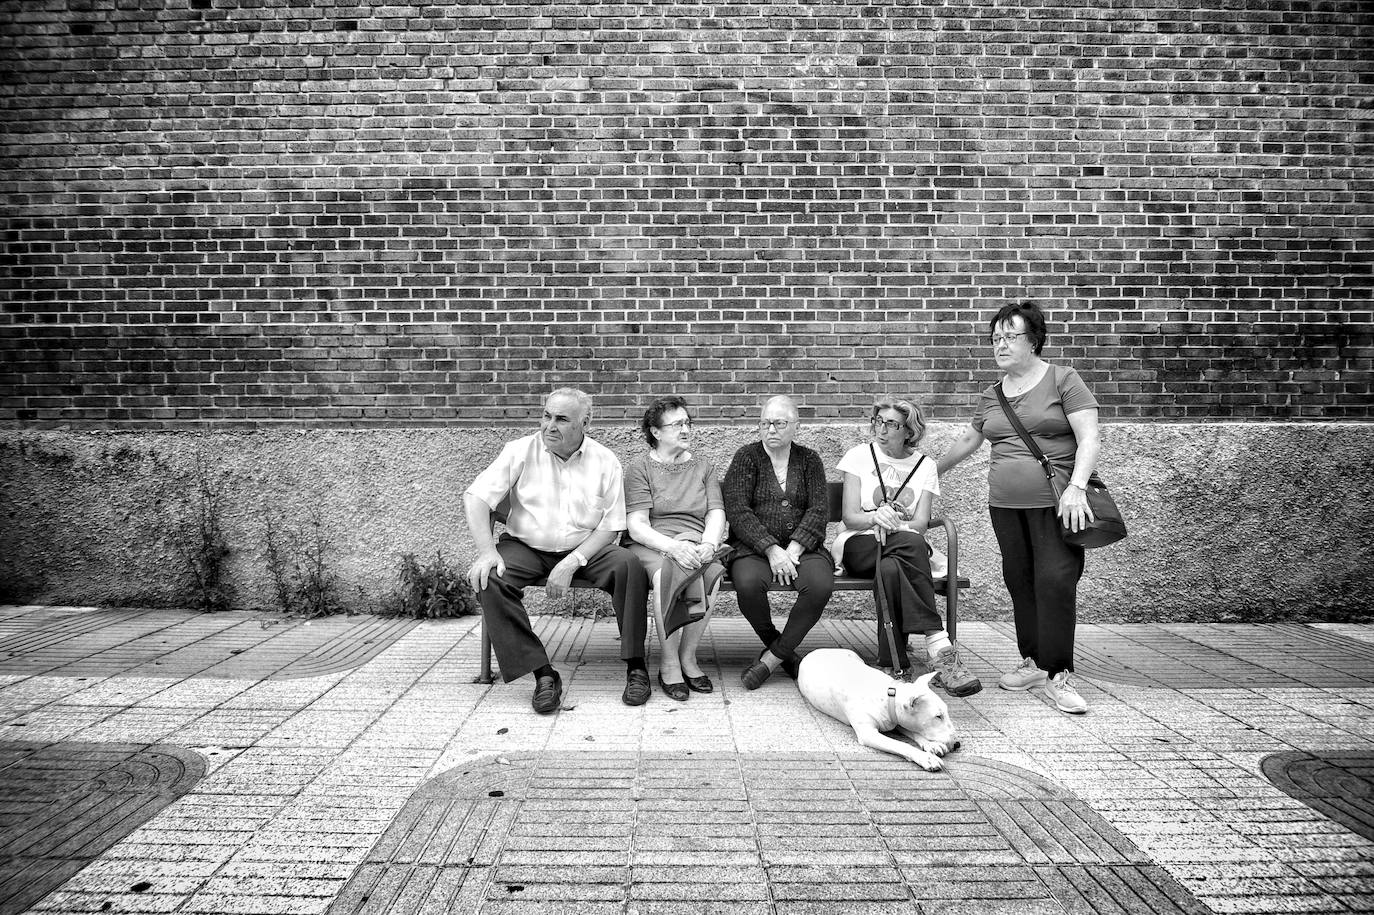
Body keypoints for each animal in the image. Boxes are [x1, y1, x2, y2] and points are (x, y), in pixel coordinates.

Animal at [802, 645, 961, 763]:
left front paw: (932, 745)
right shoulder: (869, 734)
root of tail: (816, 650)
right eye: (938, 716)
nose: (957, 744)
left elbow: (915, 732)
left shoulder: (899, 720)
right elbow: (901, 744)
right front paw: (927, 758)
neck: (887, 697)